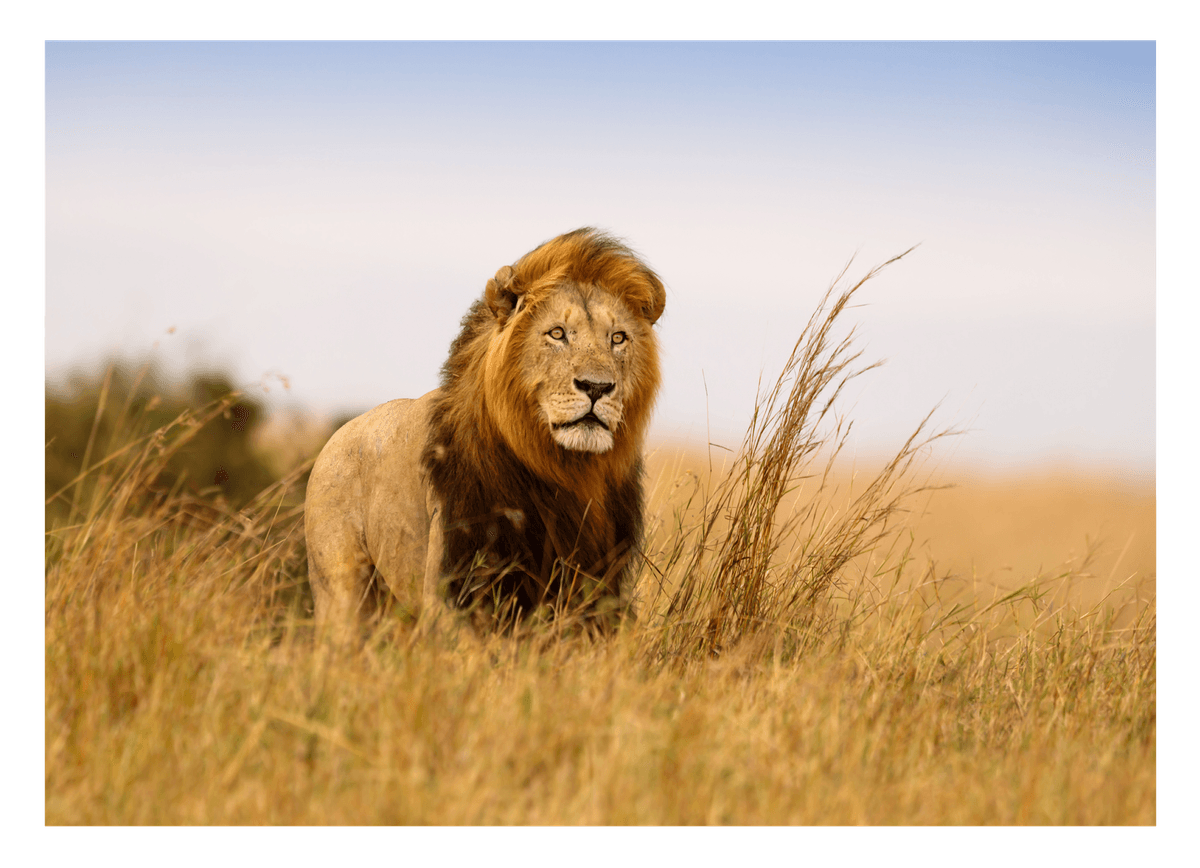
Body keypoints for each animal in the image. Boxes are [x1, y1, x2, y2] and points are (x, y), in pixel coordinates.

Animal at [304, 228, 666, 636]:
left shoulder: (597, 585)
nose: (597, 387)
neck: (565, 470)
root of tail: (336, 438)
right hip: (342, 591)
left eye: (618, 338)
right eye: (557, 334)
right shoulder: (456, 581)